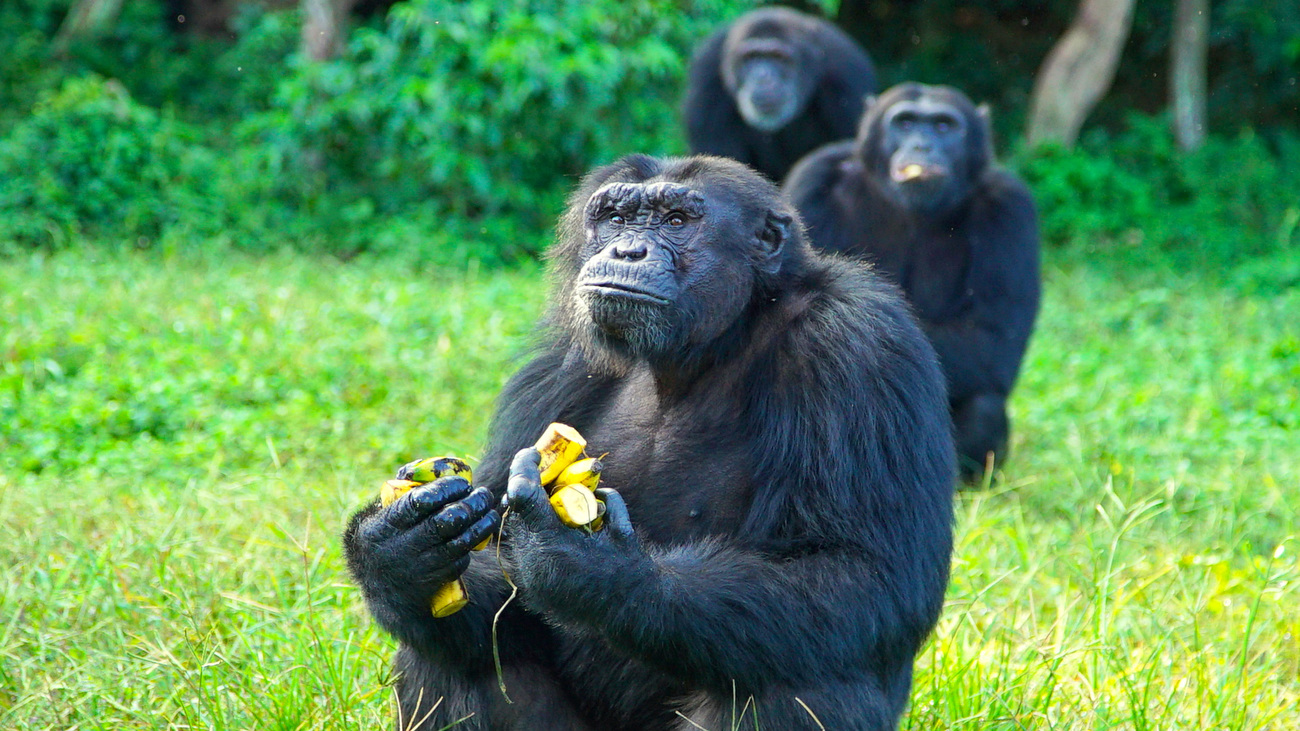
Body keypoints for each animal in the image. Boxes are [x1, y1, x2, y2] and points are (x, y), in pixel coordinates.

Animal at [345, 153, 956, 728]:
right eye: (615, 218)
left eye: (677, 220)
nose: (628, 251)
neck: (706, 347)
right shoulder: (556, 366)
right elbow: (498, 582)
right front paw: (395, 552)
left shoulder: (859, 346)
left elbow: (864, 570)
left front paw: (588, 565)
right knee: (449, 657)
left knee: (791, 679)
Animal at [780, 82, 1045, 478]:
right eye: (904, 123)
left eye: (944, 126)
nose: (922, 145)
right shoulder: (814, 179)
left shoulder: (1011, 209)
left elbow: (991, 338)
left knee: (985, 405)